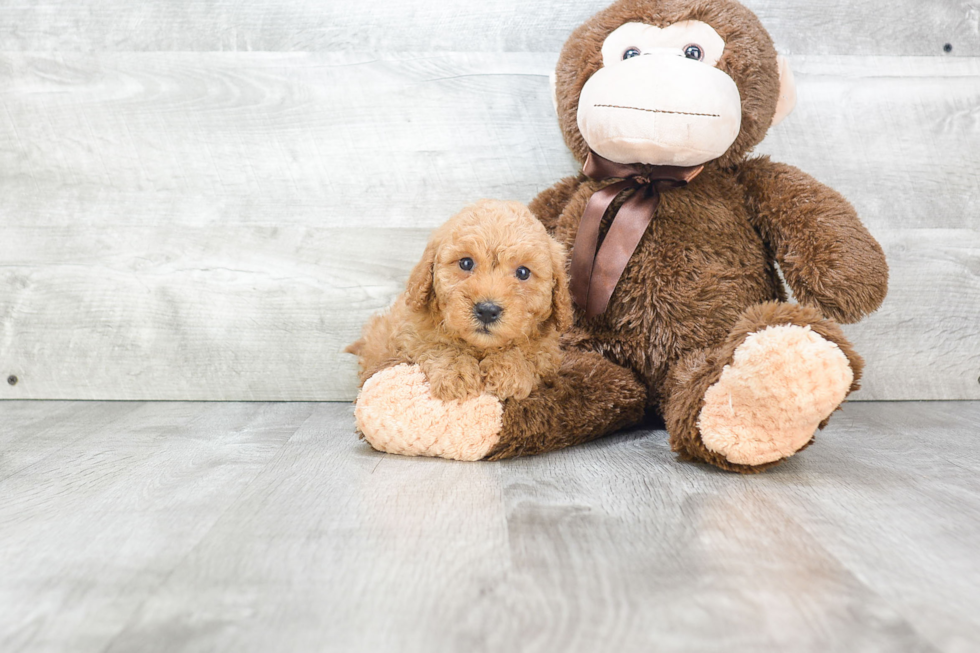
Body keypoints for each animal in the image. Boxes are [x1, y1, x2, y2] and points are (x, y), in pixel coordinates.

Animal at [346, 199, 572, 402]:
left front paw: (509, 371)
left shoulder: (550, 352)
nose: (487, 310)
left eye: (523, 272)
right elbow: (437, 346)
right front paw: (456, 374)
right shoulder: (410, 336)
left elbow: (532, 352)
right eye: (466, 263)